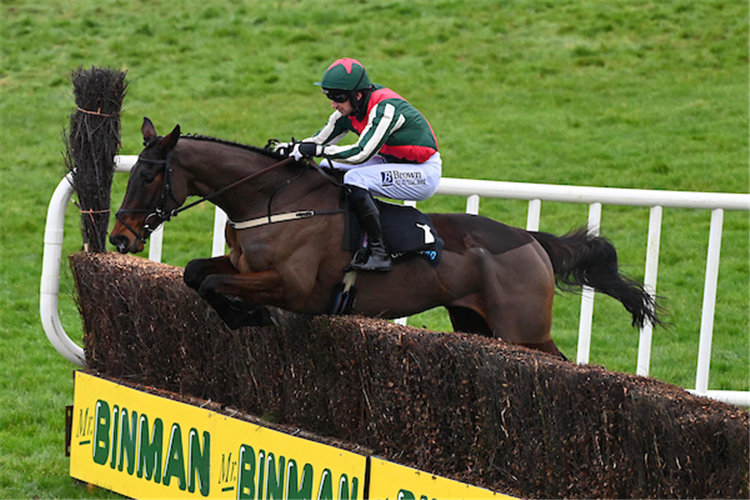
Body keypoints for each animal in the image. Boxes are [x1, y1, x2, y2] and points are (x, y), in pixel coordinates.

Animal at [110, 118, 660, 358]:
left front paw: (253, 316)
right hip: (475, 322)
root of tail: (528, 238)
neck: (271, 201)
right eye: (130, 171)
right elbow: (196, 273)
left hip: (522, 330)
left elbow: (211, 284)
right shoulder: (244, 267)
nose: (119, 237)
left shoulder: (295, 288)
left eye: (150, 176)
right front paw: (243, 315)